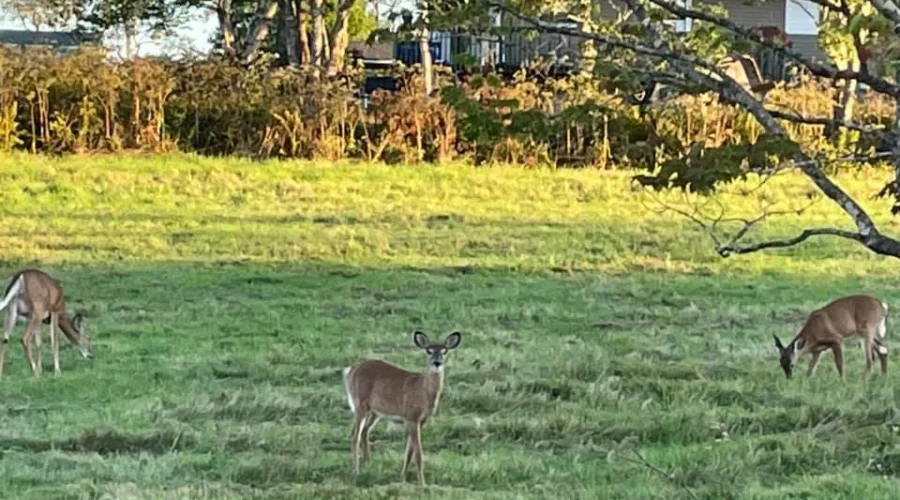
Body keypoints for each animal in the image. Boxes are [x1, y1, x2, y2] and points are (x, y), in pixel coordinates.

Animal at [342, 330, 461, 486]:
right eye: (428, 350)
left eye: (444, 351)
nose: (437, 363)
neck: (423, 390)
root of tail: (350, 371)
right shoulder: (412, 417)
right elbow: (418, 453)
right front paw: (422, 483)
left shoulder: (421, 420)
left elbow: (409, 452)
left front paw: (403, 478)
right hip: (360, 405)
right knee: (354, 436)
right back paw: (356, 471)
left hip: (374, 412)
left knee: (364, 432)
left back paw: (368, 466)